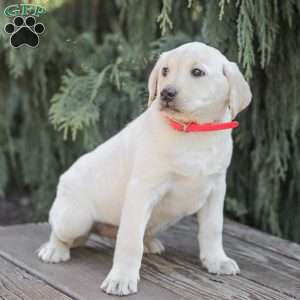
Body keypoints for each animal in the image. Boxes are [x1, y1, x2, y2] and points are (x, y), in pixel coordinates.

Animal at [38, 41, 252, 296]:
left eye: (197, 72)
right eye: (165, 71)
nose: (166, 93)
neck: (191, 131)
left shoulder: (216, 189)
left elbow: (213, 228)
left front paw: (217, 260)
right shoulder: (142, 191)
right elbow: (129, 241)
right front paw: (121, 278)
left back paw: (149, 243)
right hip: (74, 217)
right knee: (60, 231)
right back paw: (54, 249)